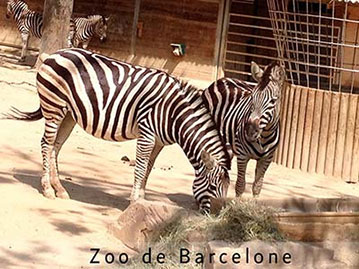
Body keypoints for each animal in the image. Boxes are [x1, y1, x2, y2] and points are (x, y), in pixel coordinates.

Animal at [2, 47, 233, 211]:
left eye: (226, 188)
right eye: (213, 187)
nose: (218, 216)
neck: (173, 114)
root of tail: (55, 53)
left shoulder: (159, 141)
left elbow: (148, 168)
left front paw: (142, 200)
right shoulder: (147, 133)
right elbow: (140, 167)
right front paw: (134, 201)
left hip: (68, 115)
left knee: (55, 147)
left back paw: (60, 189)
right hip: (54, 107)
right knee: (46, 144)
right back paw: (48, 189)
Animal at [204, 61, 286, 198]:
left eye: (273, 100)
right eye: (252, 97)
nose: (250, 131)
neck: (264, 137)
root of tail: (224, 79)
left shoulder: (267, 159)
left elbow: (257, 186)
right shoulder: (242, 155)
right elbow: (240, 185)